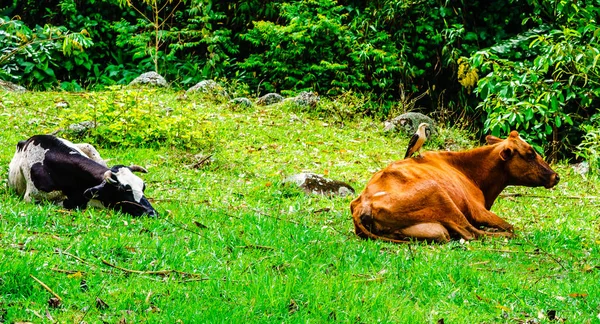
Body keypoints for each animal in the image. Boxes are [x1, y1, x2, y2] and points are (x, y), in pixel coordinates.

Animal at [350, 130, 560, 242]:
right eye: (530, 154)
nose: (555, 176)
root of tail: (362, 204)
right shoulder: (477, 209)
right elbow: (509, 226)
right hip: (441, 197)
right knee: (472, 233)